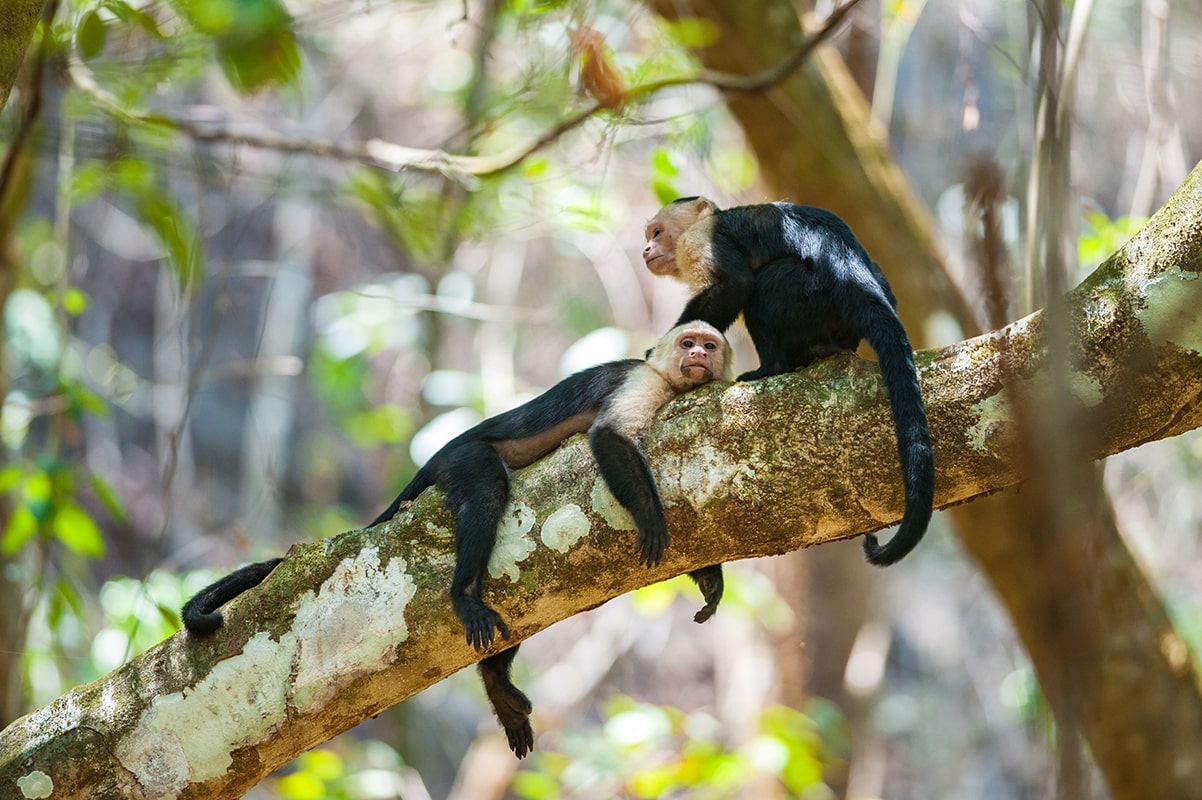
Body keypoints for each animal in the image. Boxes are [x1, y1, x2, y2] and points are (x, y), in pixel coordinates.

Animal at [182, 319, 730, 754]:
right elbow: (609, 437)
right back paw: (462, 596)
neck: (666, 379)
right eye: (688, 343)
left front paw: (709, 577)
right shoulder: (643, 380)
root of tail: (438, 454)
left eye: (709, 345)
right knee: (486, 492)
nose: (699, 356)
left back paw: (497, 684)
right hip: (462, 460)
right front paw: (652, 517)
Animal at [644, 195, 932, 564]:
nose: (646, 249)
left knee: (766, 285)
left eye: (656, 232)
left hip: (810, 291)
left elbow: (735, 285)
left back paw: (771, 367)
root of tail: (852, 273)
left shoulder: (699, 239)